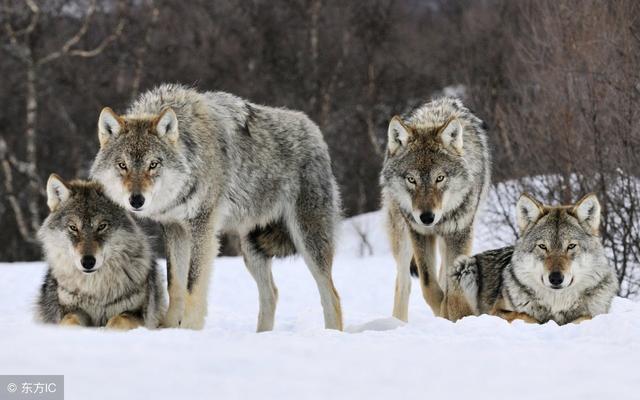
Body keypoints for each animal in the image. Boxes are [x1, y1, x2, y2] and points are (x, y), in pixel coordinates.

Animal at [36, 175, 166, 328]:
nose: (88, 262)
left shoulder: (137, 313)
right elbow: (70, 320)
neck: (95, 290)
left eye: (102, 226)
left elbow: (118, 320)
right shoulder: (71, 310)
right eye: (73, 227)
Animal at [89, 84, 344, 332]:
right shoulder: (174, 229)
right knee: (271, 294)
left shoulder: (202, 227)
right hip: (251, 249)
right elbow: (175, 284)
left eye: (153, 164)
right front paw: (169, 328)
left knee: (332, 295)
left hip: (308, 241)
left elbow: (193, 285)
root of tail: (315, 131)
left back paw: (332, 334)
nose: (136, 200)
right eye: (122, 165)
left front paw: (189, 330)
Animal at [380, 97, 490, 322]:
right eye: (411, 179)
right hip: (402, 236)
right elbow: (428, 285)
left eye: (440, 178)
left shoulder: (460, 233)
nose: (427, 217)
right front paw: (442, 311)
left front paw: (452, 314)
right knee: (403, 283)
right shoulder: (419, 233)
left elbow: (451, 286)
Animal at [448, 191, 616, 324]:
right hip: (463, 266)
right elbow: (525, 315)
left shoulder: (596, 313)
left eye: (571, 246)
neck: (556, 304)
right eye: (542, 246)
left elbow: (586, 317)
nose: (555, 278)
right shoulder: (496, 312)